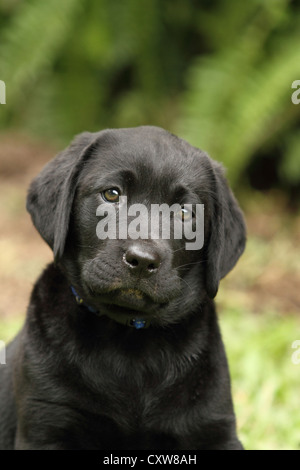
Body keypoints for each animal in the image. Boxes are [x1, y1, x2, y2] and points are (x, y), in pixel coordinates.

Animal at [0, 126, 246, 450]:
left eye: (184, 213)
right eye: (112, 194)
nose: (142, 260)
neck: (130, 343)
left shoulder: (214, 426)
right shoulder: (46, 422)